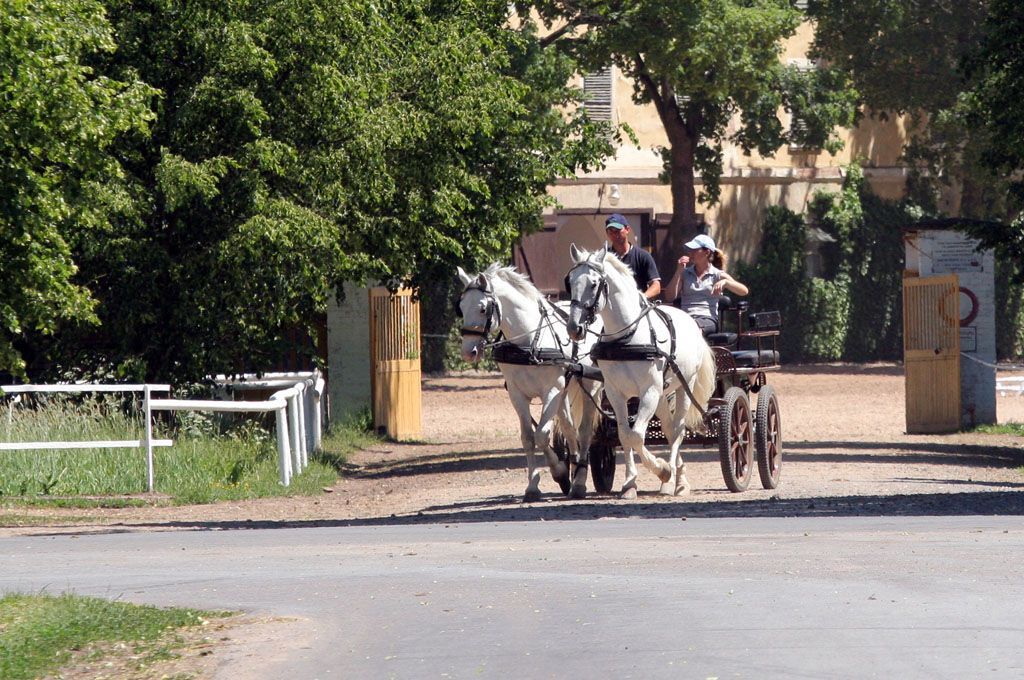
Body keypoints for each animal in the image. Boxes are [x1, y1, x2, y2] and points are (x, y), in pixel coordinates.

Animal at [454, 264, 598, 499]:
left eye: (483, 309)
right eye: (461, 308)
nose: (468, 352)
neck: (529, 341)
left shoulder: (551, 390)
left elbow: (542, 435)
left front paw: (559, 473)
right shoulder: (517, 394)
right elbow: (528, 438)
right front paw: (534, 485)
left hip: (590, 387)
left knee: (584, 432)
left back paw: (579, 482)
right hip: (564, 392)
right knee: (569, 429)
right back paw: (574, 468)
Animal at [565, 245, 716, 499]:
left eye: (594, 284)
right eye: (570, 281)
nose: (574, 328)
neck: (628, 337)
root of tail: (691, 320)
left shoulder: (648, 391)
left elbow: (636, 435)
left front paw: (662, 470)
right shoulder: (617, 394)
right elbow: (626, 435)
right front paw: (630, 484)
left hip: (684, 387)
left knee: (678, 431)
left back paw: (676, 479)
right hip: (663, 394)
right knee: (668, 428)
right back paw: (675, 479)